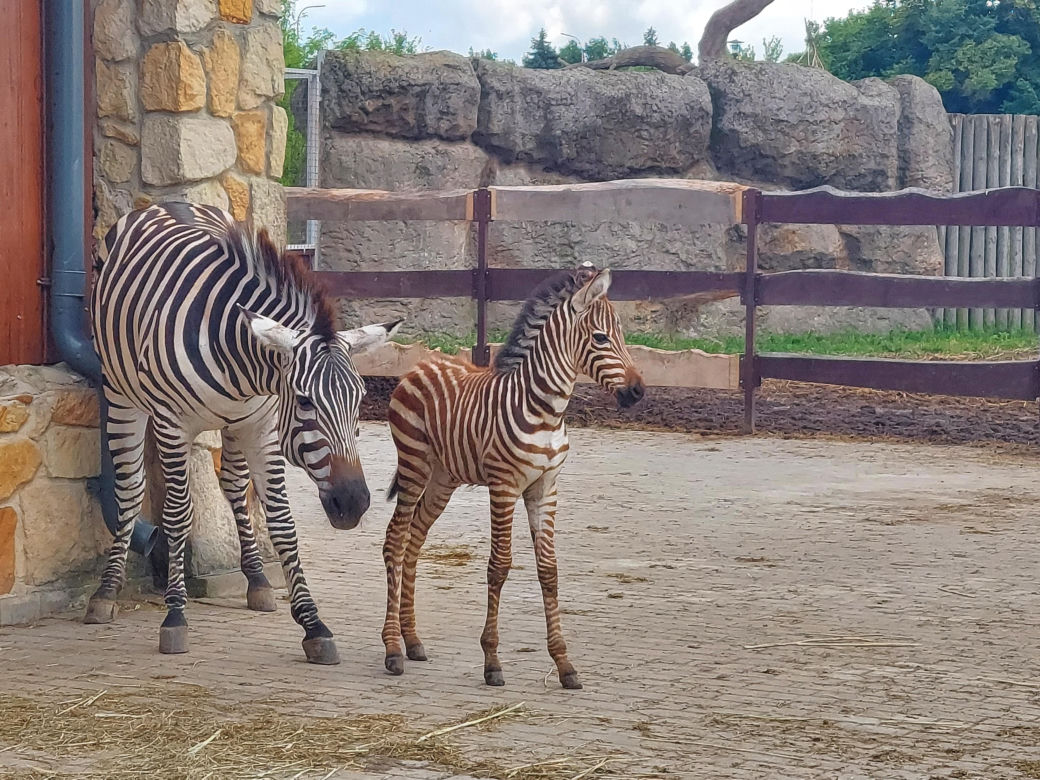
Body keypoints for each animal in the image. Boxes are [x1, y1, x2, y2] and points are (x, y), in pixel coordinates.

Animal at [85, 202, 400, 665]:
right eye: (304, 401)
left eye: (360, 399)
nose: (354, 503)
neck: (243, 359)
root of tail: (166, 204)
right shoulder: (173, 424)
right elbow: (177, 515)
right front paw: (174, 616)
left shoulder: (263, 426)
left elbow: (282, 521)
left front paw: (313, 625)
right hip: (121, 393)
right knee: (128, 491)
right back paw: (106, 592)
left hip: (235, 424)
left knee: (233, 485)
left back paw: (257, 580)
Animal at [381, 264, 646, 689]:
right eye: (601, 338)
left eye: (621, 336)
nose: (638, 392)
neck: (546, 411)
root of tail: (422, 364)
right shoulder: (504, 486)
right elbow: (499, 566)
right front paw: (492, 662)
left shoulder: (545, 488)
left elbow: (549, 571)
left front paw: (565, 664)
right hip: (414, 465)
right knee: (395, 540)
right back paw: (391, 648)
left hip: (443, 478)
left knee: (414, 539)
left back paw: (412, 640)